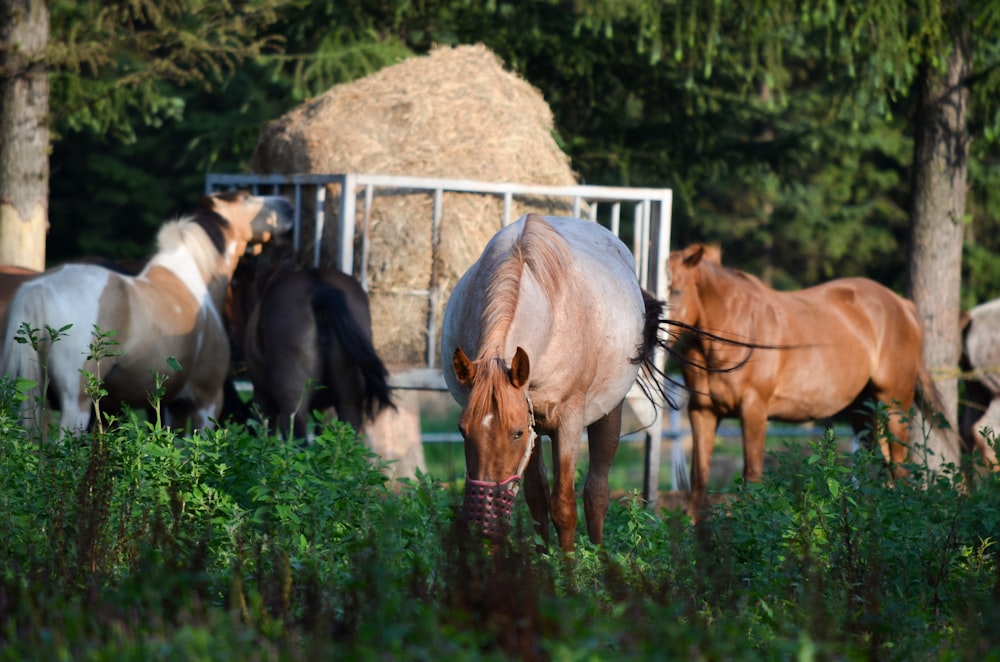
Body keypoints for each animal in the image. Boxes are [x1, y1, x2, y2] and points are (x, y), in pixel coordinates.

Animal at [1, 192, 292, 436]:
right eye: (246, 197)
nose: (286, 206)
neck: (193, 278)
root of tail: (38, 287)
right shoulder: (206, 401)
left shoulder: (173, 405)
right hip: (78, 404)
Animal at [440, 215, 668, 552]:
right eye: (462, 430)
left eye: (516, 433)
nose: (484, 524)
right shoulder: (530, 416)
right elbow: (537, 496)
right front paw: (542, 558)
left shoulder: (567, 423)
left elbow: (564, 505)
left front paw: (568, 562)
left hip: (608, 414)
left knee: (596, 492)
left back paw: (600, 556)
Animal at [668, 244, 940, 520]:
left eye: (676, 290)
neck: (733, 331)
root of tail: (902, 305)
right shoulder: (702, 411)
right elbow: (698, 476)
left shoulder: (753, 409)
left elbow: (752, 474)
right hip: (863, 411)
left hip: (893, 404)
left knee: (899, 466)